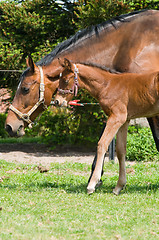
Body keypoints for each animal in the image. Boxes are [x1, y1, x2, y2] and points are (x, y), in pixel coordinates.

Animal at [54, 58, 159, 195]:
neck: (107, 85)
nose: (57, 101)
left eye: (66, 80)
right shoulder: (124, 120)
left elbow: (102, 144)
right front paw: (119, 186)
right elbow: (120, 150)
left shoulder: (116, 118)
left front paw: (92, 184)